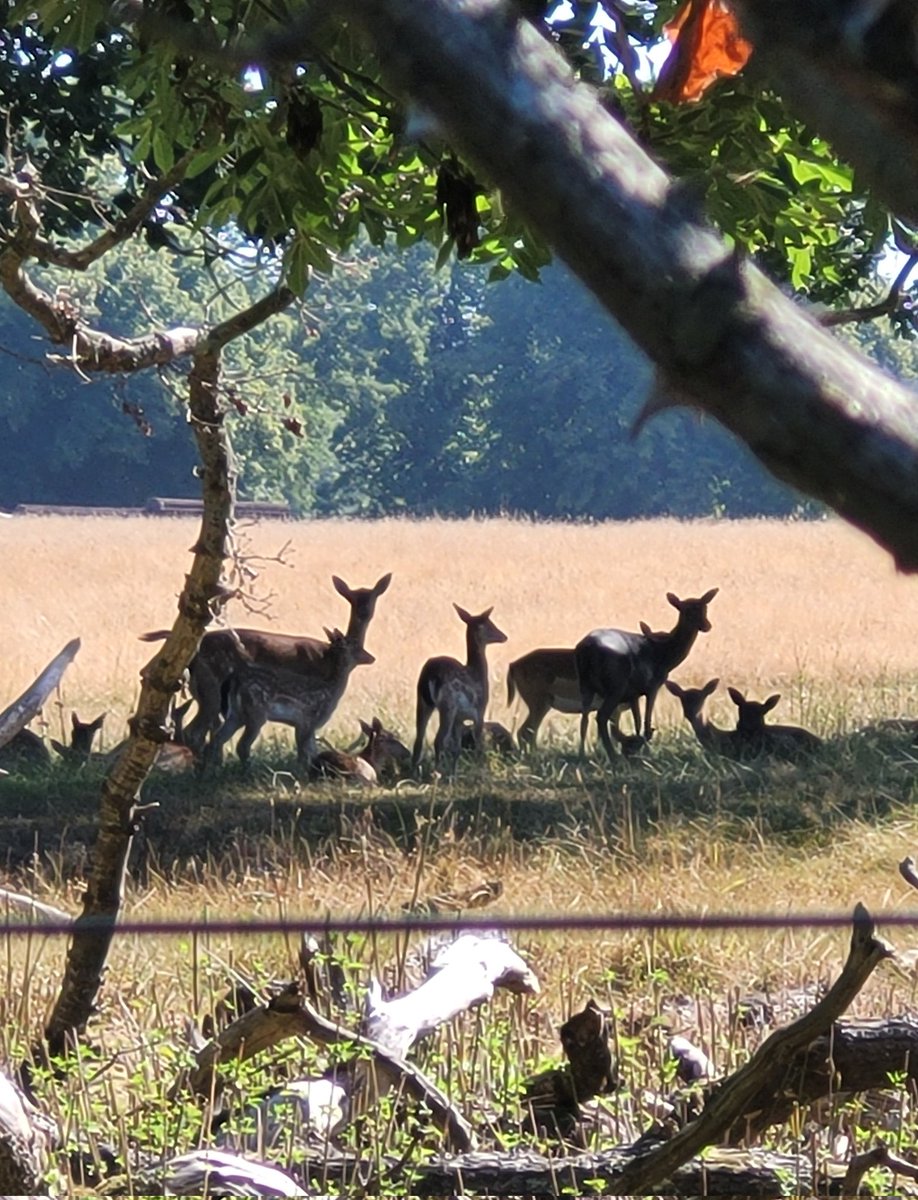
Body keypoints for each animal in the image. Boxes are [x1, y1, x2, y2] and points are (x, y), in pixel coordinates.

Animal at [209, 629, 375, 768]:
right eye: (356, 646)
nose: (372, 657)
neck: (332, 690)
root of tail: (232, 680)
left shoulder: (304, 724)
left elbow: (311, 751)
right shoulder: (308, 719)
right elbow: (304, 752)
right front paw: (303, 772)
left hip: (237, 714)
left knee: (216, 740)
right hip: (255, 711)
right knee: (242, 745)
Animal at [412, 605, 508, 772]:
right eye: (490, 624)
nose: (504, 636)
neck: (477, 672)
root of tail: (431, 675)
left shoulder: (459, 718)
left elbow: (457, 748)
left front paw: (454, 773)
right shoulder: (479, 710)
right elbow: (478, 744)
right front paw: (479, 769)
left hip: (422, 701)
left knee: (418, 740)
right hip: (448, 704)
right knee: (439, 740)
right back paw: (437, 772)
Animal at [507, 648, 640, 753]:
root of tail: (514, 664)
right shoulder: (614, 711)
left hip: (542, 706)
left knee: (528, 732)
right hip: (539, 706)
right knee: (525, 732)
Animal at [575, 588, 718, 763]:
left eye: (705, 608)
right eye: (686, 612)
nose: (707, 626)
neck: (665, 655)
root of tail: (586, 649)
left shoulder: (633, 693)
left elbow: (637, 722)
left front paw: (640, 751)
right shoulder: (653, 685)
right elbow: (646, 721)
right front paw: (648, 754)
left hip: (585, 685)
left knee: (584, 719)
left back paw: (583, 756)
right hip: (616, 685)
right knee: (601, 716)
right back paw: (613, 757)